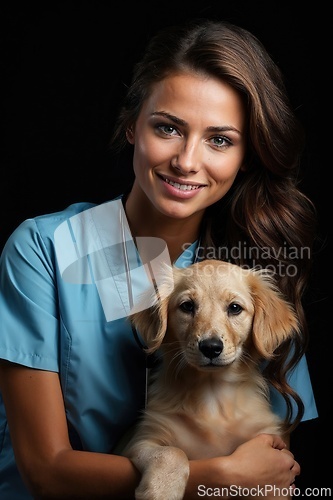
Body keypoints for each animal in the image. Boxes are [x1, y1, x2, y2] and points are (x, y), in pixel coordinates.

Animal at [122, 260, 298, 498]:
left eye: (235, 308)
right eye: (187, 306)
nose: (211, 347)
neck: (213, 394)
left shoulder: (270, 441)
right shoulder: (141, 440)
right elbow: (172, 452)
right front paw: (161, 491)